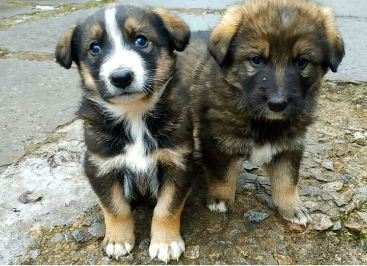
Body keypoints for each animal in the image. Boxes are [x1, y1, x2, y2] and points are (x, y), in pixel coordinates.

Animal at [54, 5, 194, 262]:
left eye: (141, 40)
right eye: (95, 48)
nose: (121, 78)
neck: (134, 114)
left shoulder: (179, 162)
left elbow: (167, 207)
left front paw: (165, 242)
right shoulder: (100, 166)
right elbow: (115, 207)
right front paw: (118, 240)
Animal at [178, 0, 344, 225]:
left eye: (301, 61)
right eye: (256, 60)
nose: (277, 104)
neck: (265, 121)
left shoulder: (291, 144)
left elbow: (288, 178)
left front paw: (292, 207)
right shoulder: (217, 139)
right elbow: (223, 174)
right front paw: (220, 199)